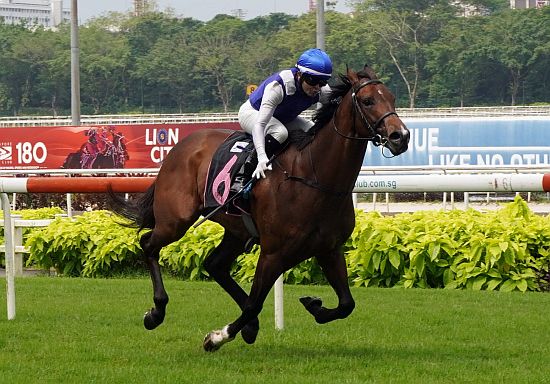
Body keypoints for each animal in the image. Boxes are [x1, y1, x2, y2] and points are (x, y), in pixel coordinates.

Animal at [110, 65, 410, 352]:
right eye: (368, 100)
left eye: (392, 98)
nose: (401, 136)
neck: (314, 177)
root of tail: (180, 146)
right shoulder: (273, 253)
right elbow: (255, 303)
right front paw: (217, 338)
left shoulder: (329, 249)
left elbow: (347, 303)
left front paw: (314, 305)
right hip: (175, 219)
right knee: (148, 244)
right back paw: (156, 312)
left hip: (237, 230)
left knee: (215, 264)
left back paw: (248, 325)